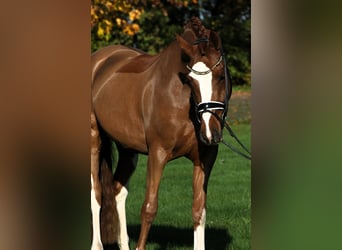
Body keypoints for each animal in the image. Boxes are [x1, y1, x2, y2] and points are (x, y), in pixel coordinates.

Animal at [91, 17, 231, 250]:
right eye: (190, 81)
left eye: (220, 76)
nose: (210, 132)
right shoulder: (158, 153)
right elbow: (149, 207)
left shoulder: (206, 158)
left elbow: (199, 210)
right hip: (95, 140)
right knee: (97, 194)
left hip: (128, 149)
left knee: (118, 190)